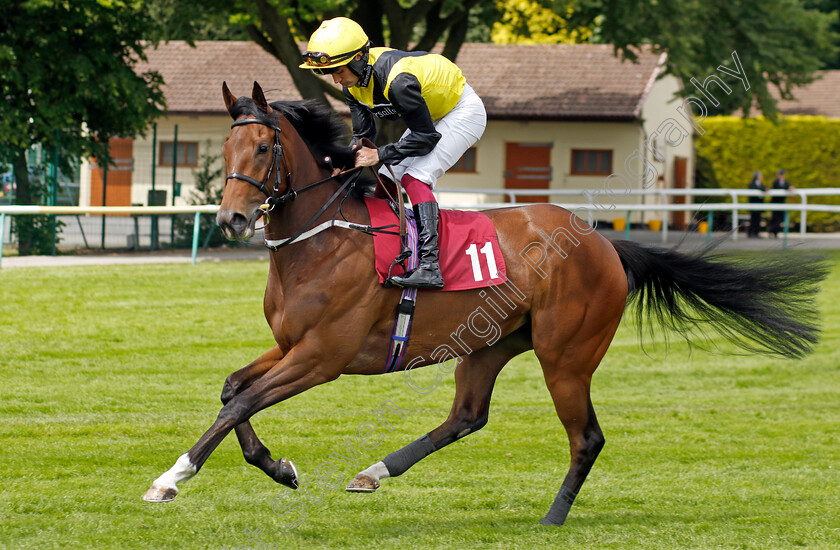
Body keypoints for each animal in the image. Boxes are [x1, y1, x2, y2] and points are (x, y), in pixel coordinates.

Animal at [144, 81, 828, 528]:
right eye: (224, 150)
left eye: (264, 149)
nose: (231, 218)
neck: (323, 236)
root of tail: (603, 242)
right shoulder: (292, 345)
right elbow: (234, 390)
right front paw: (277, 466)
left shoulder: (323, 357)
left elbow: (243, 402)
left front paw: (170, 479)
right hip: (489, 344)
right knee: (467, 416)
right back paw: (374, 473)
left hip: (566, 357)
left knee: (586, 437)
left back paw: (552, 517)